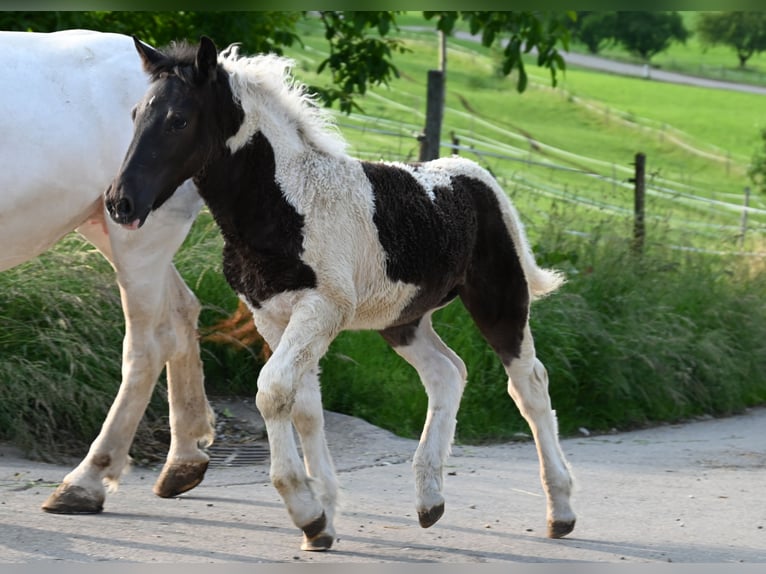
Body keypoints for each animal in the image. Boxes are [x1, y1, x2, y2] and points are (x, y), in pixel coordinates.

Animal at [0, 30, 215, 514]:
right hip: (112, 223)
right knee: (181, 313)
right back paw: (184, 461)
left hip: (141, 236)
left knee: (147, 346)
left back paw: (85, 481)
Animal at [105, 35, 577, 552]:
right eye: (135, 114)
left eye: (178, 120)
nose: (120, 201)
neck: (286, 204)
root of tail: (479, 176)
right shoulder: (272, 316)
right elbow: (304, 406)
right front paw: (323, 520)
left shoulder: (323, 308)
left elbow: (272, 391)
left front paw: (304, 507)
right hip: (404, 319)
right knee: (447, 373)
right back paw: (429, 500)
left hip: (499, 300)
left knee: (529, 384)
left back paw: (561, 512)